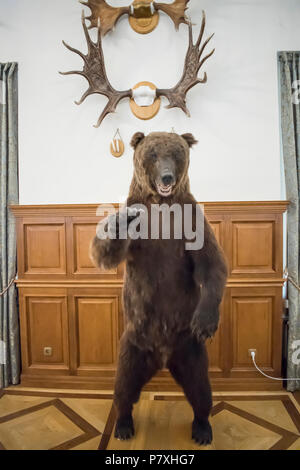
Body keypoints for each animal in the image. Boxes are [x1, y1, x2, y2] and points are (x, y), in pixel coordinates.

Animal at [90, 131, 226, 444]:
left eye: (175, 153)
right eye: (152, 154)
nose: (166, 177)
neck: (163, 206)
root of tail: (162, 359)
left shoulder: (192, 222)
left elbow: (211, 264)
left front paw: (206, 322)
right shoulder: (141, 232)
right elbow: (106, 253)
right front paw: (119, 223)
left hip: (191, 350)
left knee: (201, 389)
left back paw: (202, 428)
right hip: (132, 345)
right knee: (124, 387)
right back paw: (123, 425)